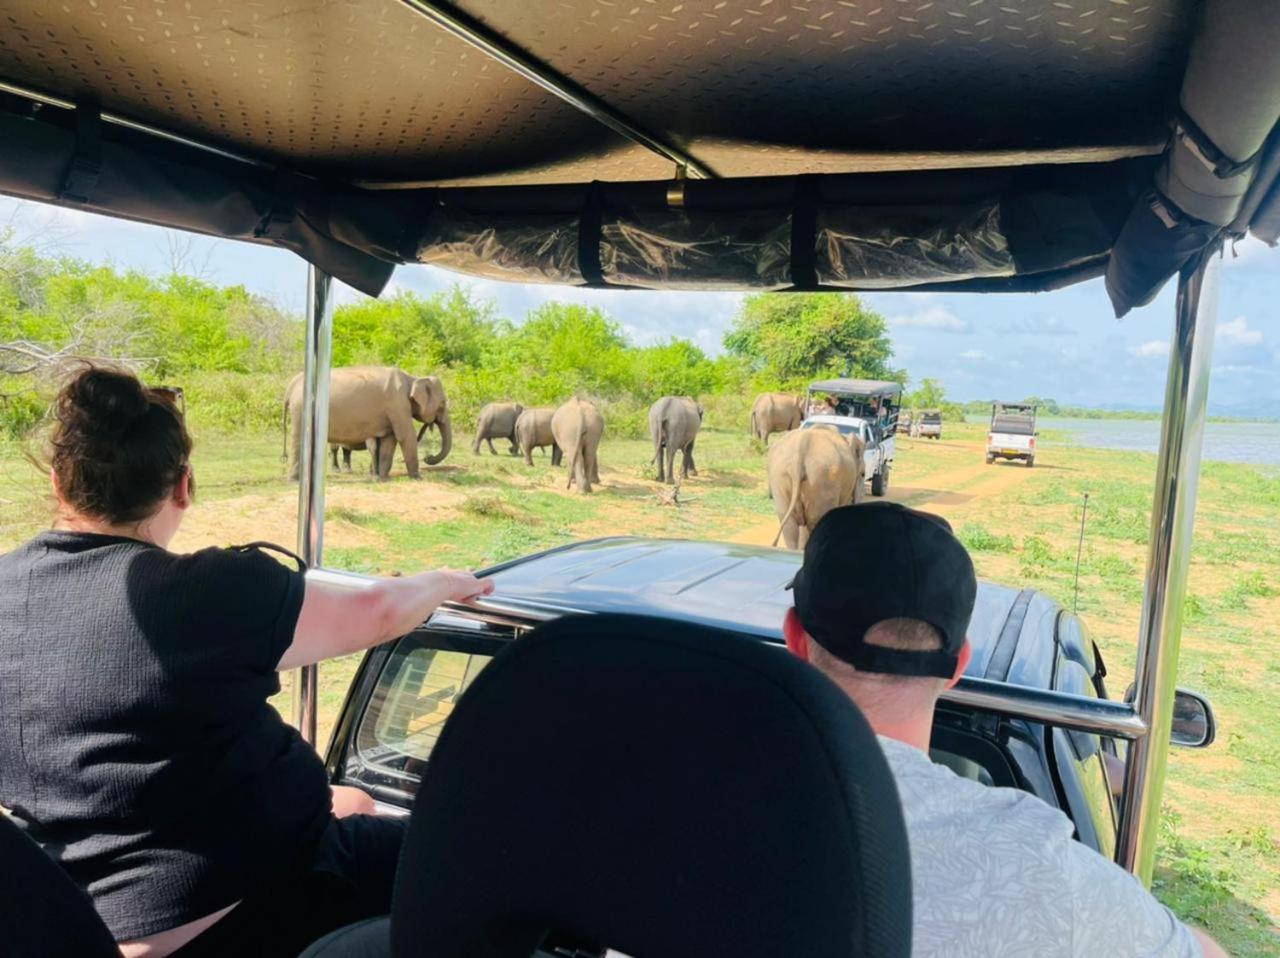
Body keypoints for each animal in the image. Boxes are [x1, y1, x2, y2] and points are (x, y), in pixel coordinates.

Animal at [284, 363, 450, 478]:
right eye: (442, 404)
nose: (428, 457)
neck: (413, 378)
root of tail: (292, 385)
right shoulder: (397, 404)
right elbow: (405, 435)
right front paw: (417, 477)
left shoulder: (392, 410)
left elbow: (389, 439)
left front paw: (382, 477)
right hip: (301, 408)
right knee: (302, 440)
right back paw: (296, 480)